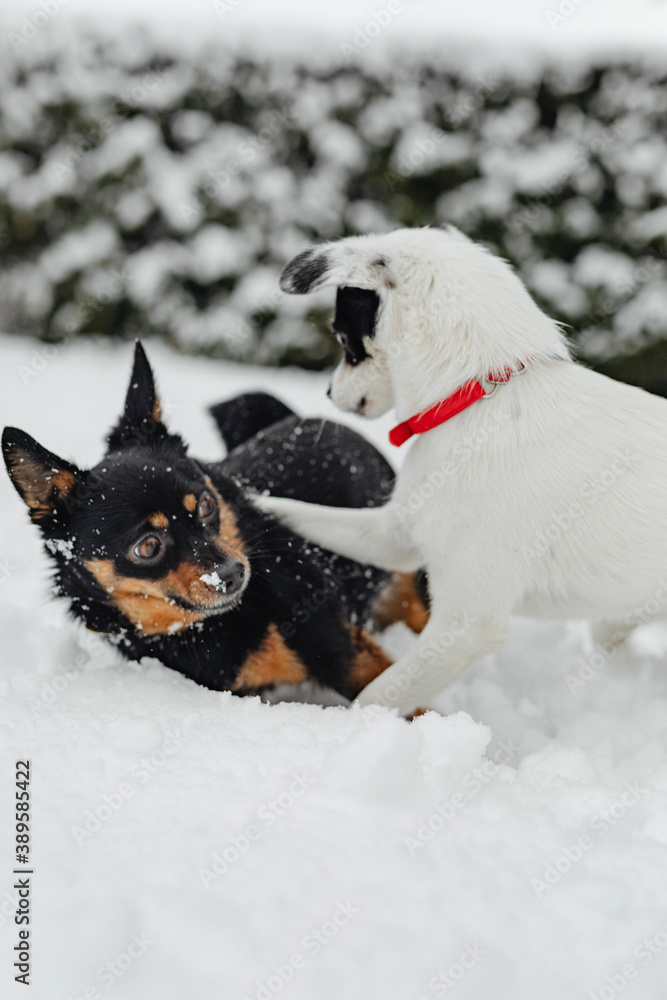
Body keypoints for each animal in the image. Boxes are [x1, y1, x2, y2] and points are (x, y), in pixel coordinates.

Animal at [256, 226, 667, 712]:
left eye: (342, 337)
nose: (328, 392)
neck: (476, 398)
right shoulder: (394, 535)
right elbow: (297, 512)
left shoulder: (465, 625)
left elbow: (379, 695)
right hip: (617, 614)